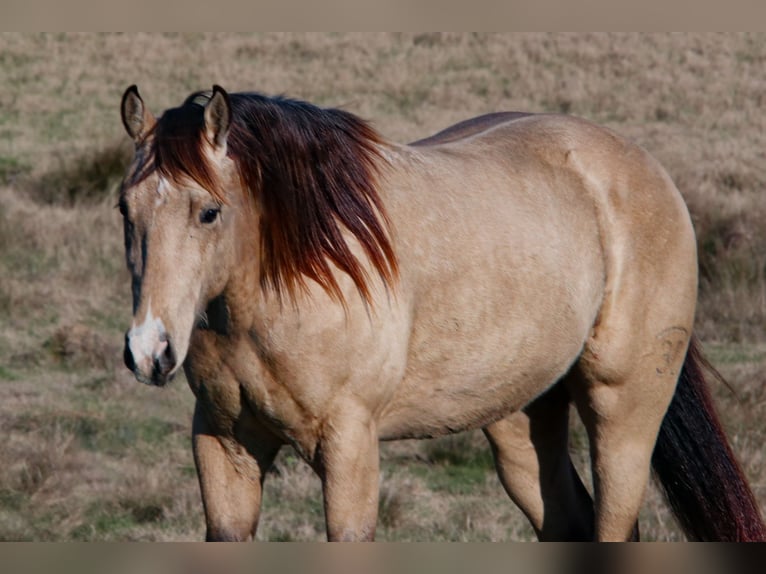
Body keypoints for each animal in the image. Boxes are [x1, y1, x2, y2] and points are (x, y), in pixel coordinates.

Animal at [117, 83, 764, 544]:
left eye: (209, 212)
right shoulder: (223, 444)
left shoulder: (350, 446)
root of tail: (645, 170)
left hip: (622, 414)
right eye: (125, 208)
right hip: (519, 421)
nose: (150, 351)